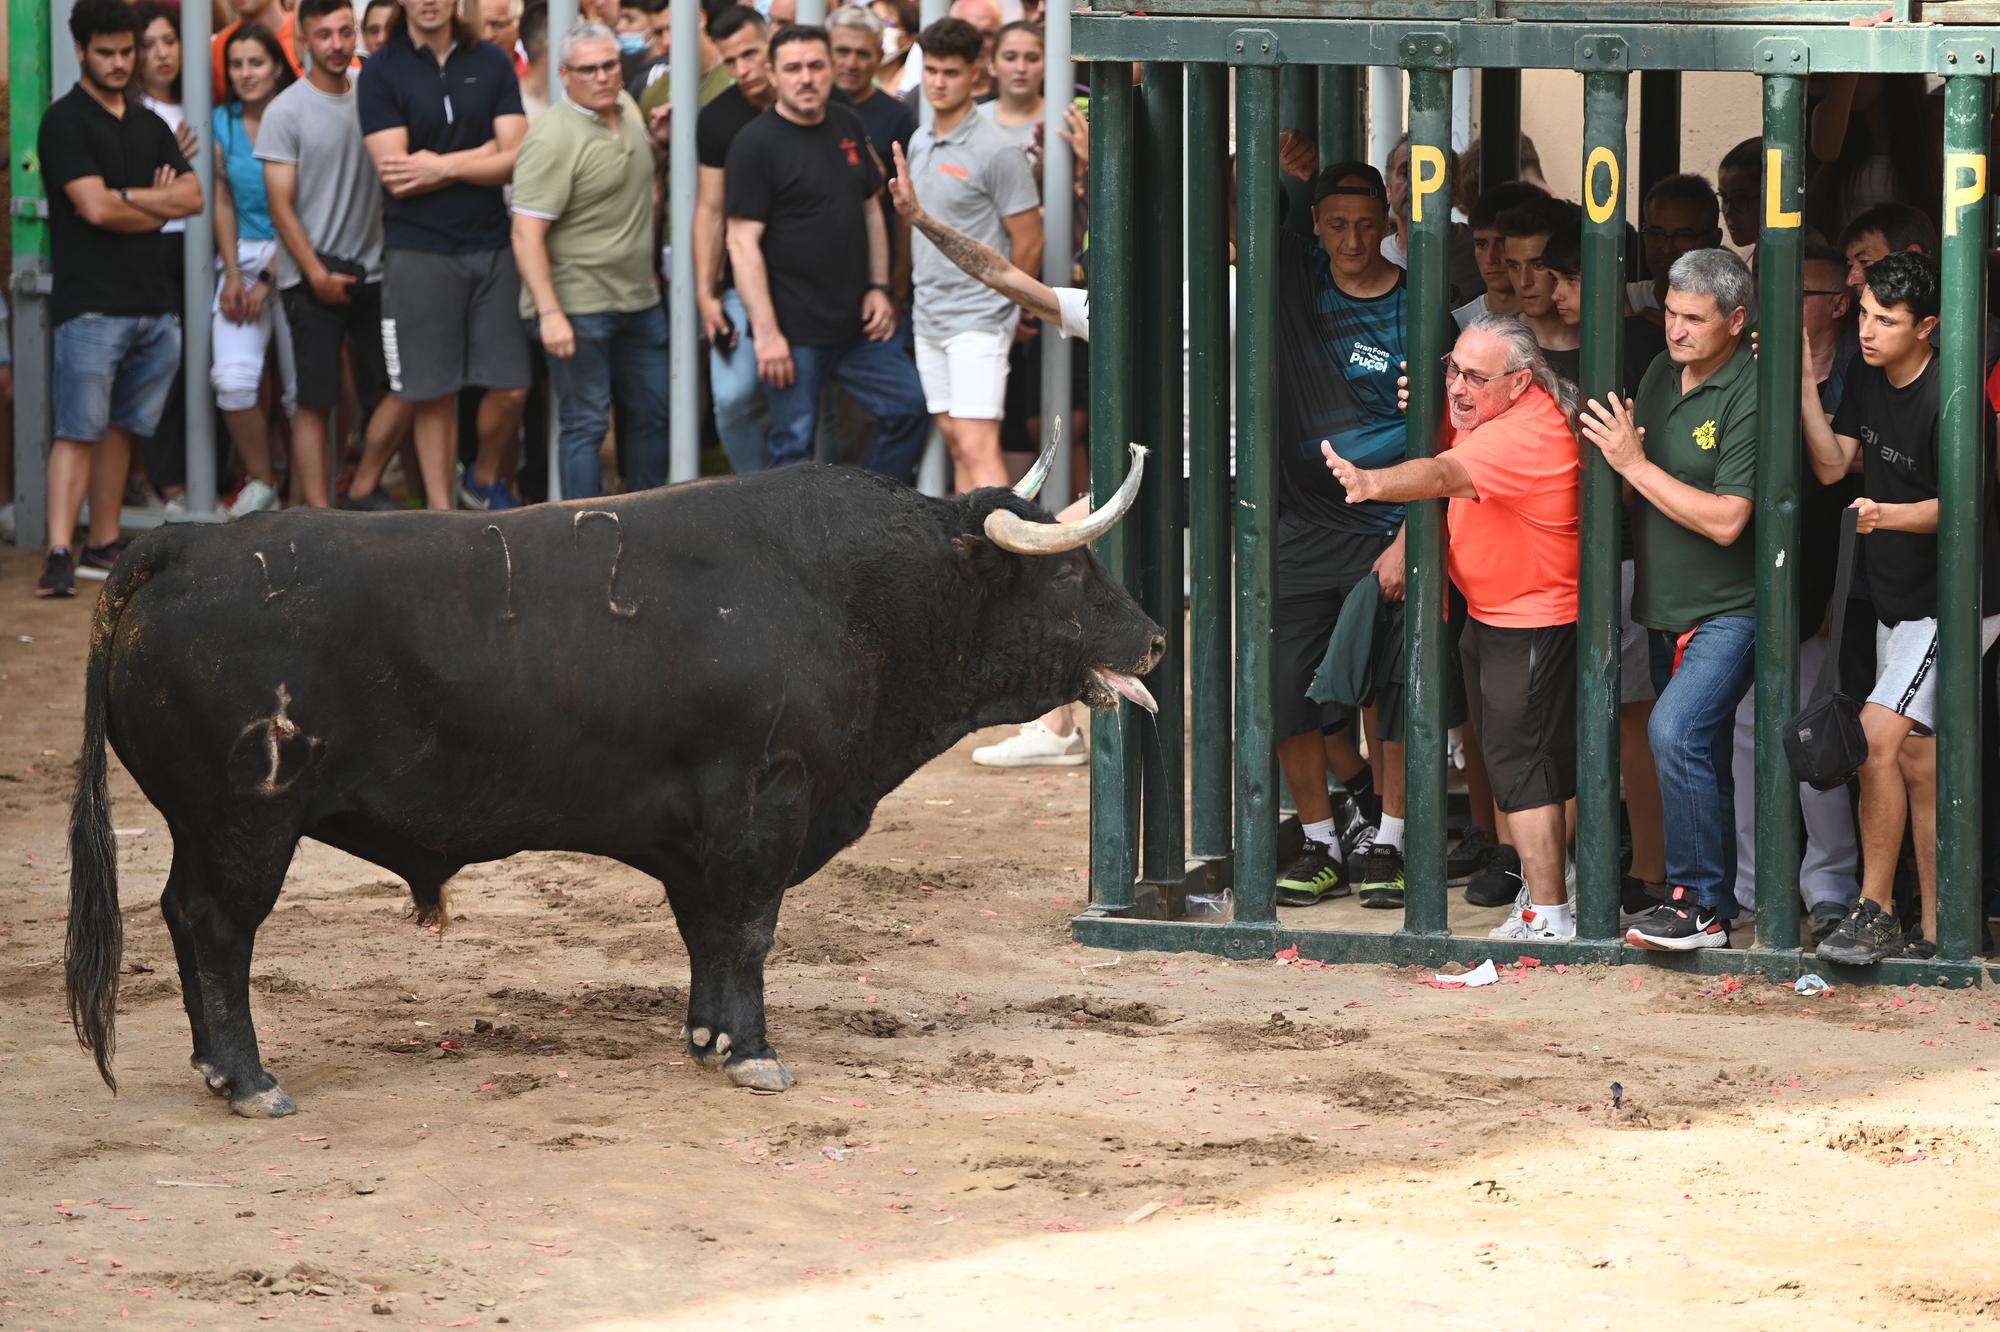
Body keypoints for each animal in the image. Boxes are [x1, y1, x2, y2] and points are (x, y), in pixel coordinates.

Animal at [70, 456, 1168, 1112]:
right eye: (1068, 576)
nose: (1155, 639)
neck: (853, 594)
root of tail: (184, 541)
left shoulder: (697, 838)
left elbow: (709, 936)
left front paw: (707, 1037)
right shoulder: (764, 807)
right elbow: (750, 931)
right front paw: (755, 1054)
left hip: (207, 824)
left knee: (185, 916)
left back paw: (219, 1068)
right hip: (246, 821)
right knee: (216, 924)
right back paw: (248, 1076)